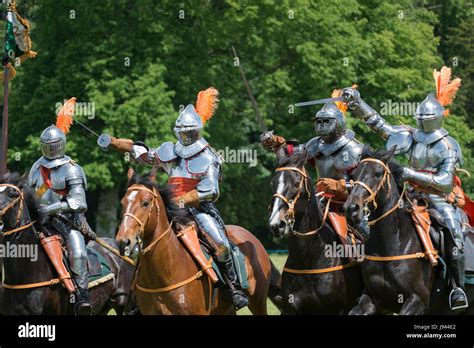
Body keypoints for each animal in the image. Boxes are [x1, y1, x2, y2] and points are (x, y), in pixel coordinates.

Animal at [342, 145, 472, 314]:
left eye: (378, 173)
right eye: (354, 174)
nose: (351, 208)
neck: (392, 244)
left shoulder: (418, 299)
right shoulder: (371, 298)